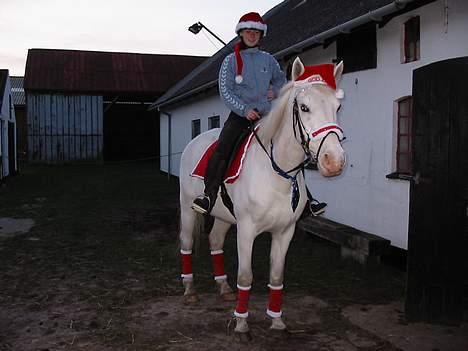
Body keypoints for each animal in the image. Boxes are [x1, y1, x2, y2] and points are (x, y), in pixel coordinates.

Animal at [177, 58, 346, 338]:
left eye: (338, 107)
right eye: (304, 107)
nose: (334, 162)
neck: (277, 174)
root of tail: (195, 141)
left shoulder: (285, 231)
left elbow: (276, 277)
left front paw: (276, 320)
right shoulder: (246, 230)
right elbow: (245, 277)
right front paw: (241, 322)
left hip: (224, 217)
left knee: (215, 241)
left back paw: (223, 287)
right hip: (188, 209)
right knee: (187, 243)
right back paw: (189, 290)